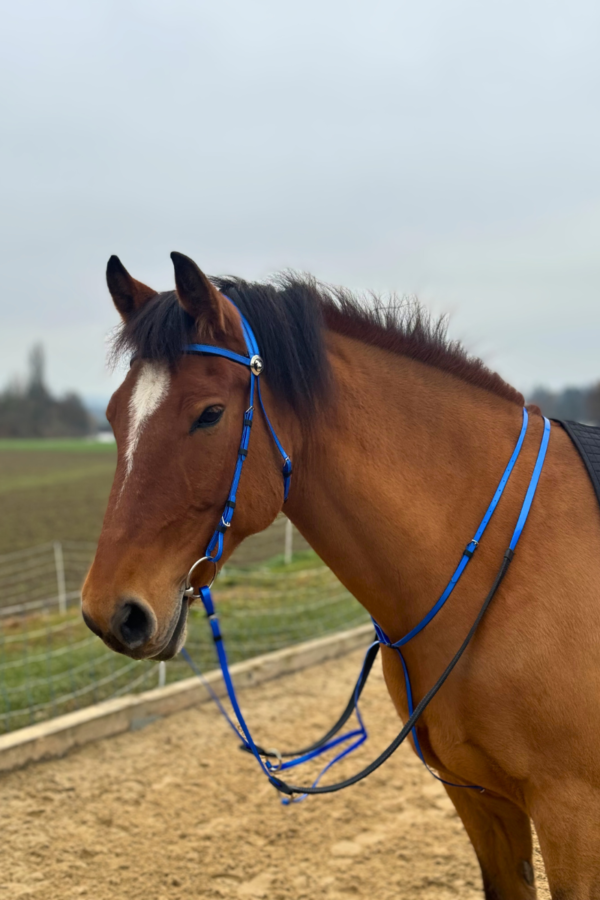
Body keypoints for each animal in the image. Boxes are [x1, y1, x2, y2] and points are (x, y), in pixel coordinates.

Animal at [82, 253, 600, 900]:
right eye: (112, 415)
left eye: (210, 414)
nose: (111, 612)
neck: (506, 564)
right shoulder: (482, 803)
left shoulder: (571, 817)